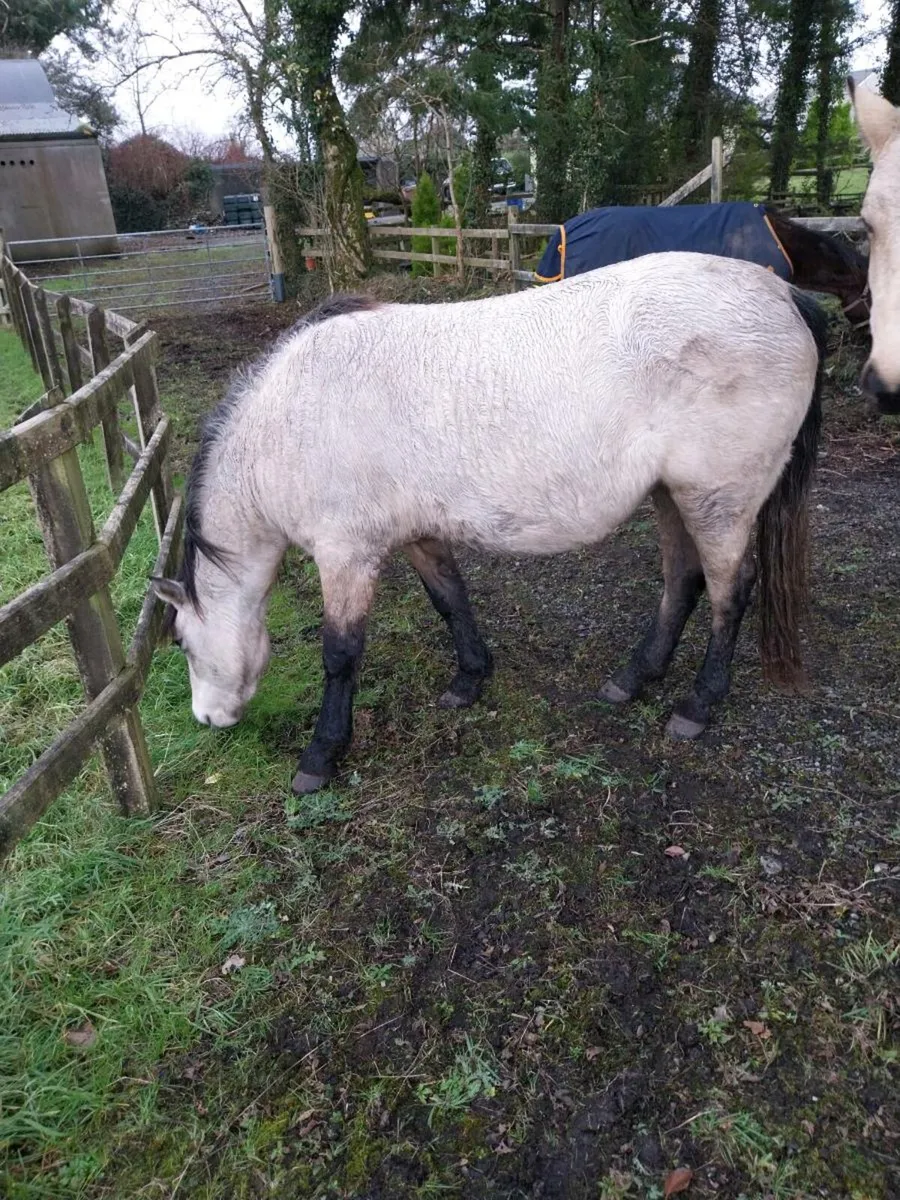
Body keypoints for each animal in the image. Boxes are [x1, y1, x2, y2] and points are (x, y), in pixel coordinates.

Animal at [154, 254, 825, 796]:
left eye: (182, 641)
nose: (207, 720)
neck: (285, 421)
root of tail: (781, 293)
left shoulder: (346, 554)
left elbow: (341, 653)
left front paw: (321, 756)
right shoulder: (418, 535)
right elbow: (451, 600)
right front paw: (469, 680)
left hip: (718, 500)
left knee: (730, 593)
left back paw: (698, 705)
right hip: (672, 496)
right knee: (683, 583)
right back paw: (634, 678)